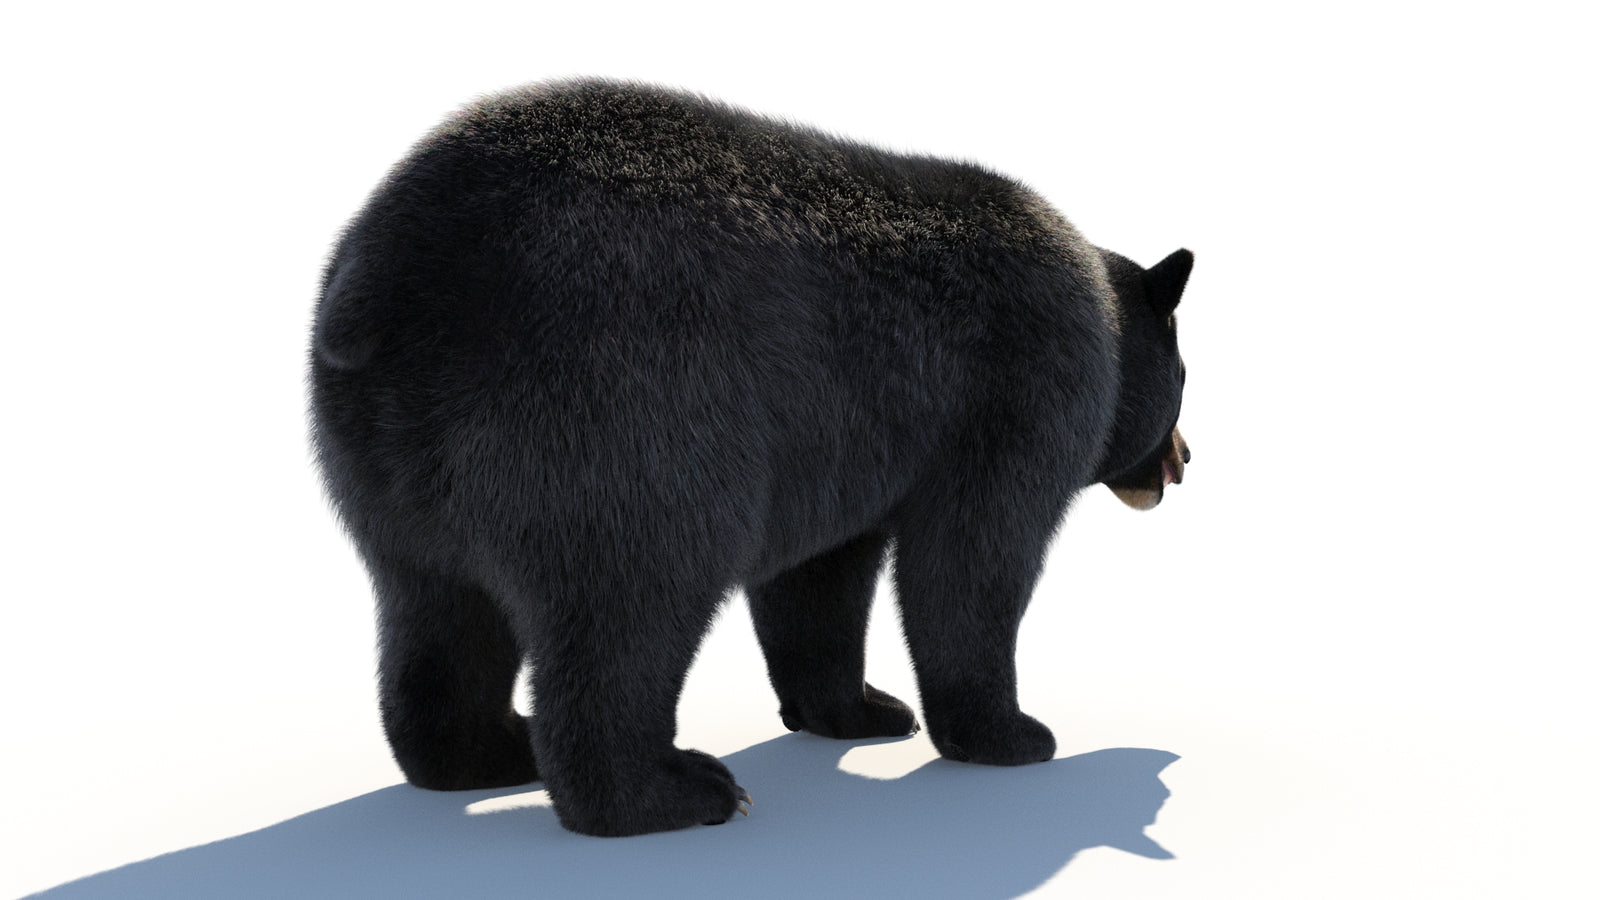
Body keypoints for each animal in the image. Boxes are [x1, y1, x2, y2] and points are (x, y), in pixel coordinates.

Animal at [308, 78, 1194, 838]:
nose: (1185, 460)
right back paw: (672, 792)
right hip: (615, 412)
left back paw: (483, 754)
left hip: (390, 464)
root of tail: (390, 285)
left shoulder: (839, 438)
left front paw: (862, 709)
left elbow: (820, 578)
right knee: (632, 600)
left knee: (436, 608)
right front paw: (1012, 734)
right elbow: (973, 556)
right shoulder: (1022, 386)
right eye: (1188, 378)